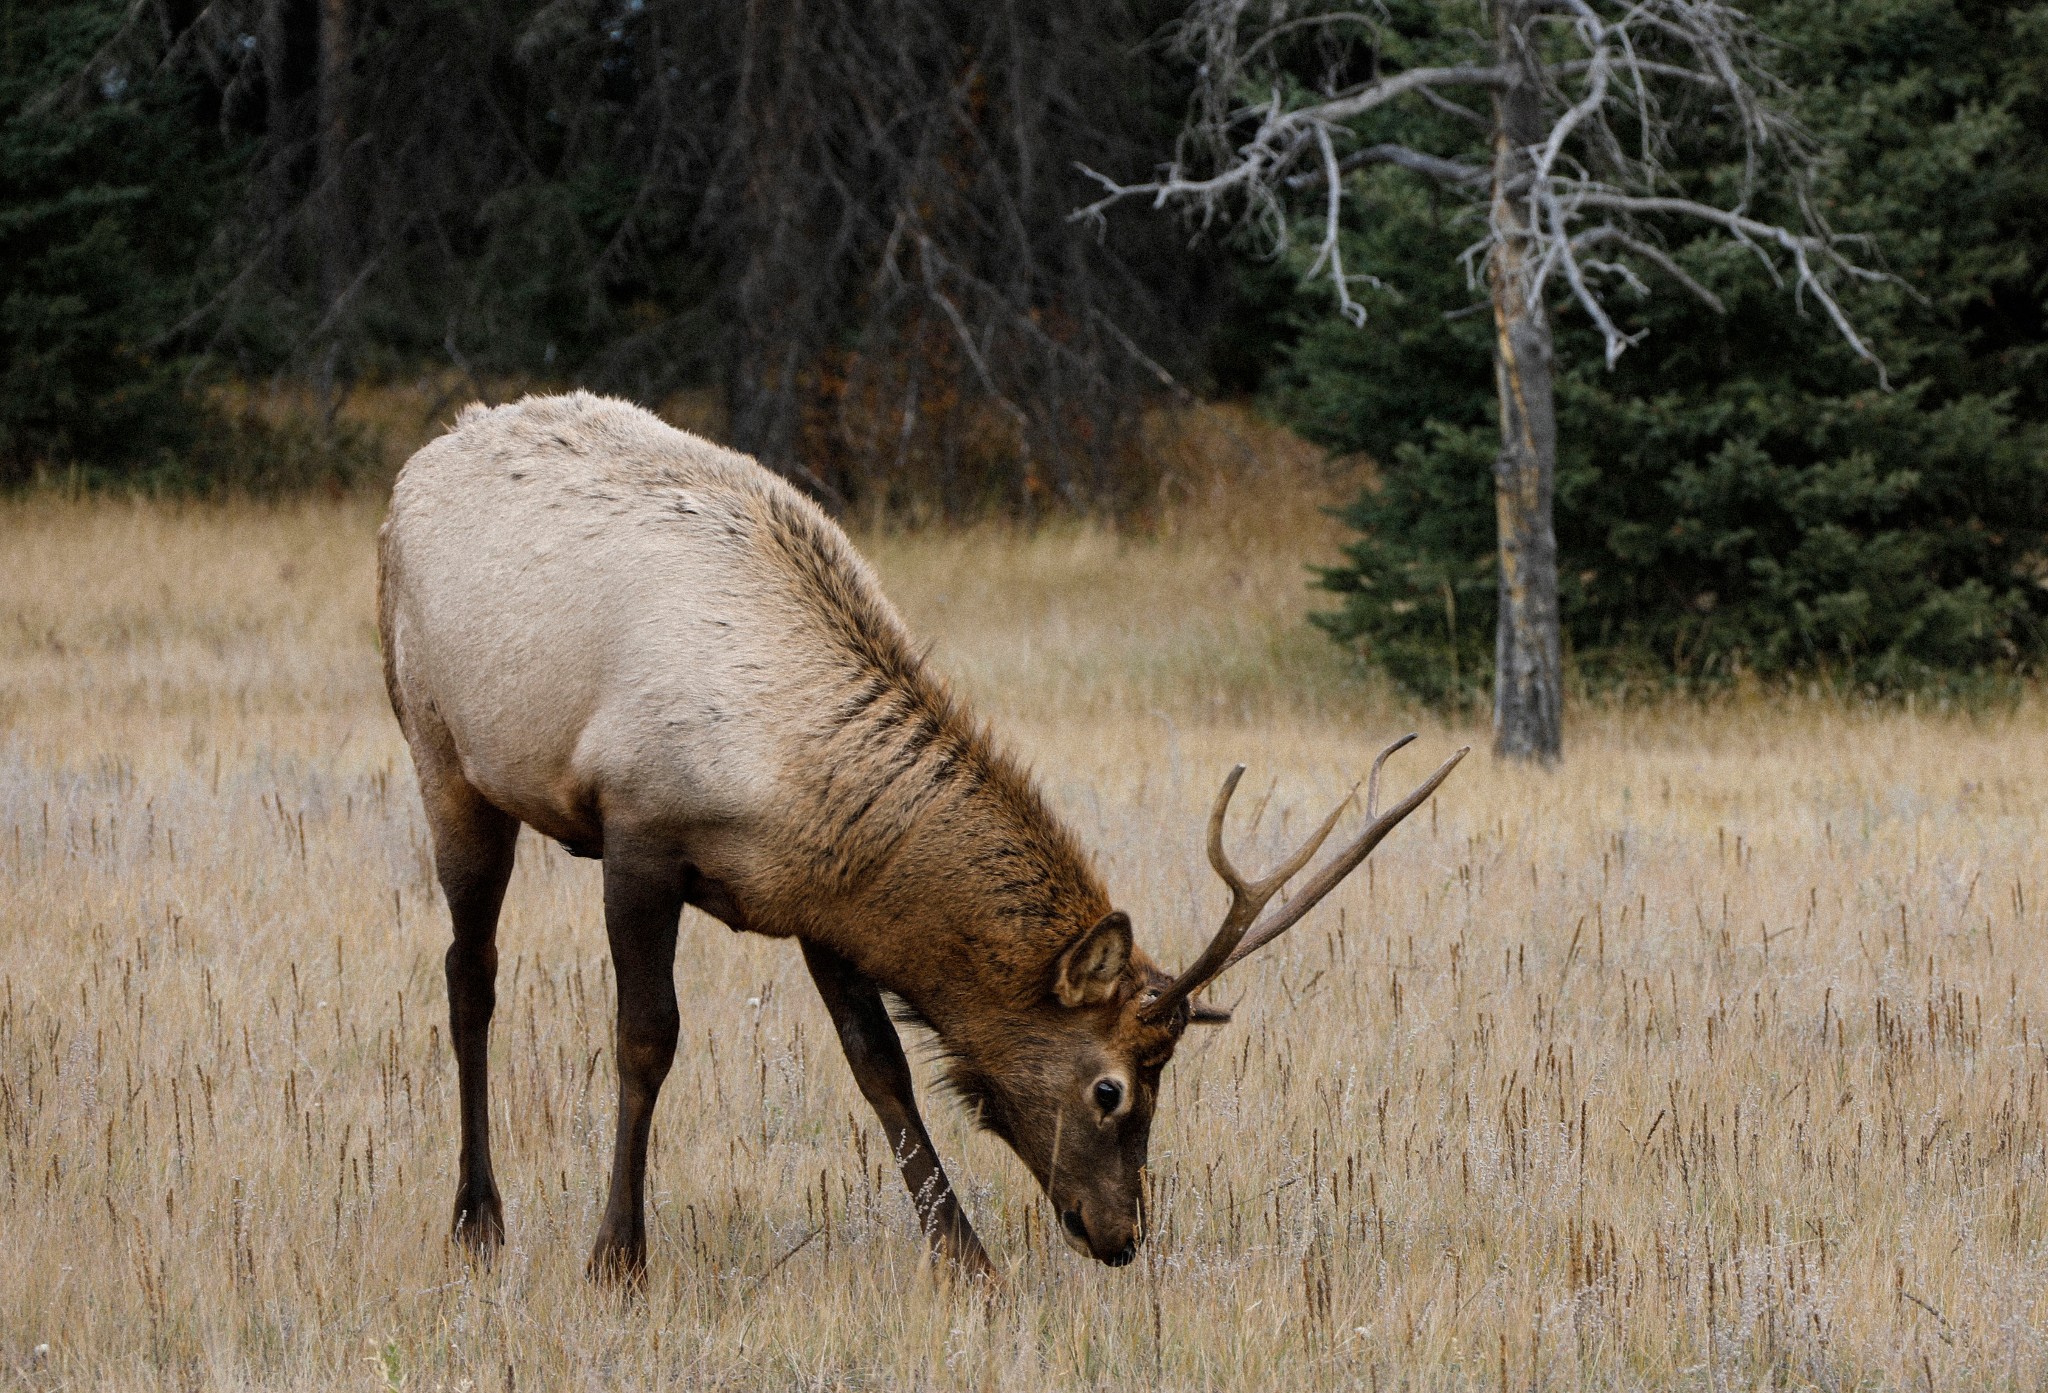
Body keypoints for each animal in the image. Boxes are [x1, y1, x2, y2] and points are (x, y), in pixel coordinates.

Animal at [380, 391, 1474, 1286]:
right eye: (1112, 1088)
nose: (1122, 1233)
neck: (784, 771)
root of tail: (415, 464)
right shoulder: (638, 832)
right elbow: (645, 1039)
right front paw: (617, 1257)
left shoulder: (813, 900)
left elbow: (882, 1068)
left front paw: (965, 1257)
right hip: (442, 754)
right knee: (468, 973)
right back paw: (477, 1221)